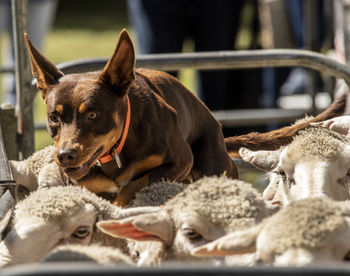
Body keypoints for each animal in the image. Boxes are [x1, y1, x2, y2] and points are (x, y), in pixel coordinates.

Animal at [24, 29, 238, 206]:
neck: (116, 150)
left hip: (210, 164)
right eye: (53, 117)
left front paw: (120, 206)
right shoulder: (84, 183)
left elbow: (134, 184)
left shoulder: (180, 161)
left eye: (93, 115)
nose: (65, 155)